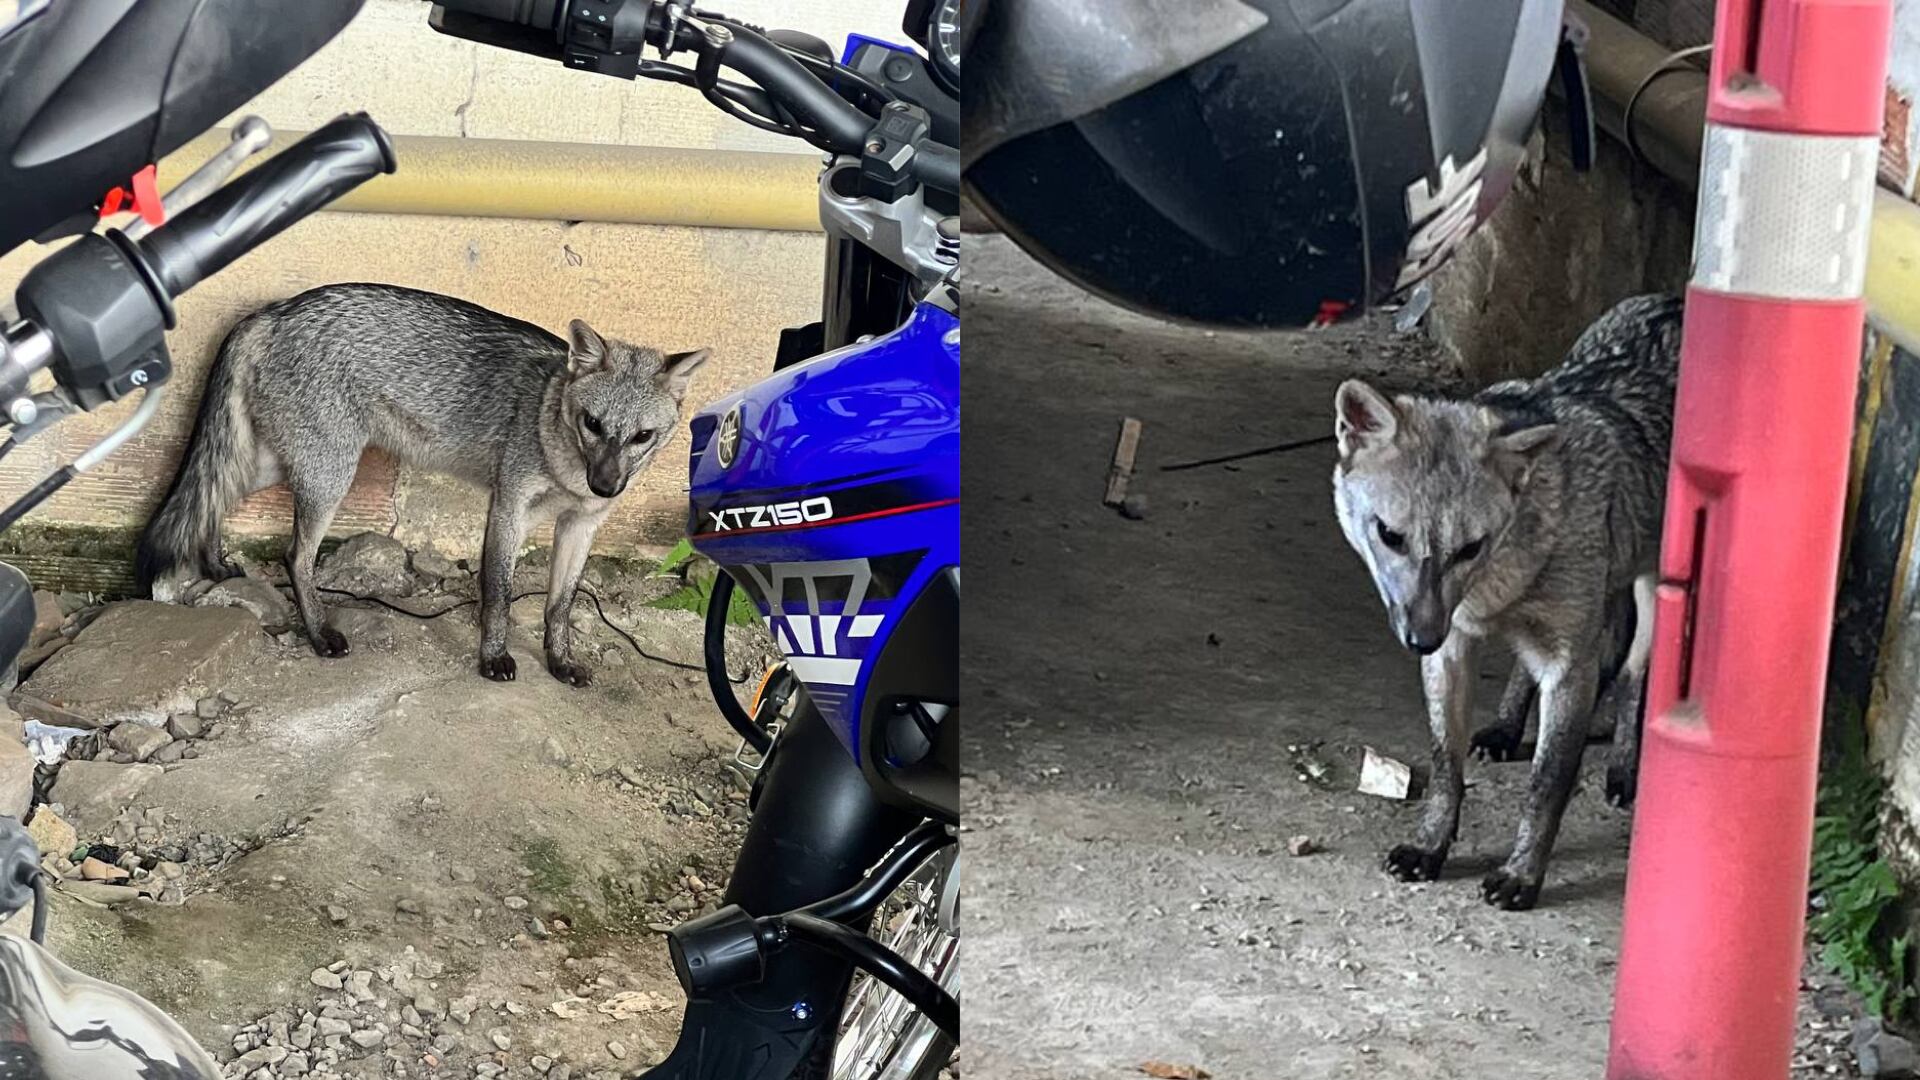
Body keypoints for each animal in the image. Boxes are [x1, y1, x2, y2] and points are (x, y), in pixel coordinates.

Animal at [136, 283, 709, 686]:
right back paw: (319, 633)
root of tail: (275, 309)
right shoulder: (510, 507)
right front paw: (494, 657)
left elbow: (560, 604)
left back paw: (214, 564)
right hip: (328, 474)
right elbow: (498, 593)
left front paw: (560, 660)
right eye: (592, 424)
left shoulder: (582, 524)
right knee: (293, 554)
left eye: (642, 436)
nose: (607, 486)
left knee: (215, 495)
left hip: (286, 464)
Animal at [1330, 293, 1683, 910]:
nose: (1419, 638)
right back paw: (1505, 726)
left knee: (1635, 671)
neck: (1499, 589)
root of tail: (1672, 299)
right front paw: (1431, 844)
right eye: (1390, 535)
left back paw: (1623, 765)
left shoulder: (1569, 665)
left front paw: (1523, 873)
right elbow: (1445, 765)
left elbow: (1546, 786)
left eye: (1471, 547)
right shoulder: (1455, 647)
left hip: (1654, 585)